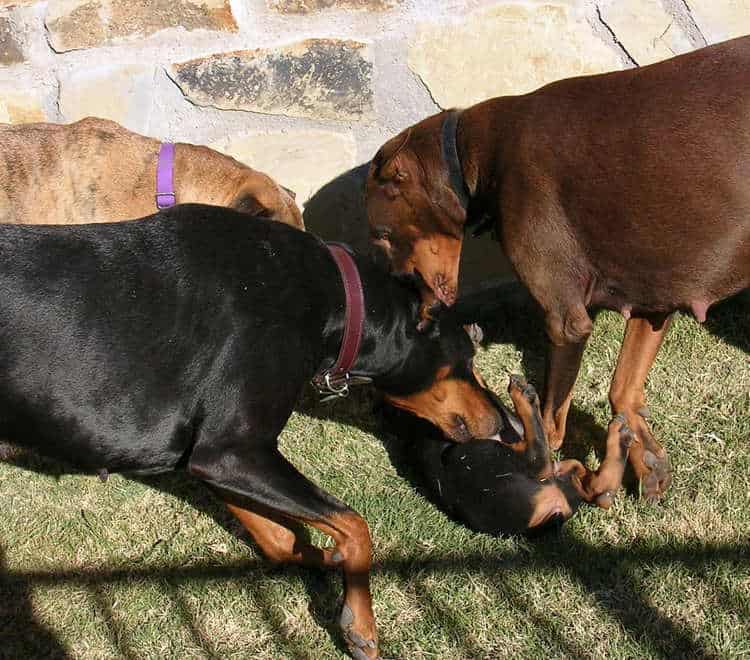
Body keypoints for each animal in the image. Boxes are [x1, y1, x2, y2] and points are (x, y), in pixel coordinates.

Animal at [0, 204, 508, 656]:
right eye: (468, 361)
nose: (504, 425)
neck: (333, 299)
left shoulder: (207, 458)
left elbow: (282, 542)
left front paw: (325, 562)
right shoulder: (231, 452)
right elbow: (355, 525)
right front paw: (361, 624)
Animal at [384, 376, 636, 536]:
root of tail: (549, 515)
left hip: (561, 472)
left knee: (599, 492)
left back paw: (620, 435)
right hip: (478, 457)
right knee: (538, 460)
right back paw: (524, 396)